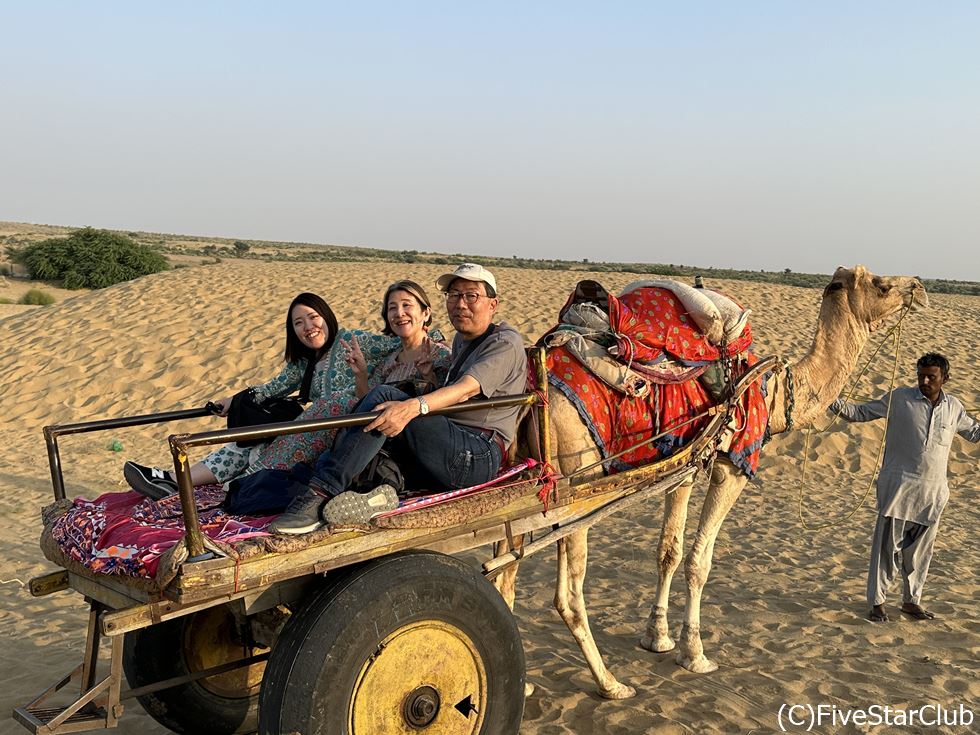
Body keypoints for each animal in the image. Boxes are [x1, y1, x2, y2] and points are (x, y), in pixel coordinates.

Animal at [494, 266, 932, 700]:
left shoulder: (684, 468)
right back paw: (610, 683)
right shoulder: (732, 466)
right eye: (882, 285)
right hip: (575, 486)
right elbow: (698, 561)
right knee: (566, 595)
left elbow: (668, 552)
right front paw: (695, 654)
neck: (772, 392)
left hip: (519, 485)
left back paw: (525, 682)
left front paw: (658, 637)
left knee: (504, 572)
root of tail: (532, 383)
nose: (919, 288)